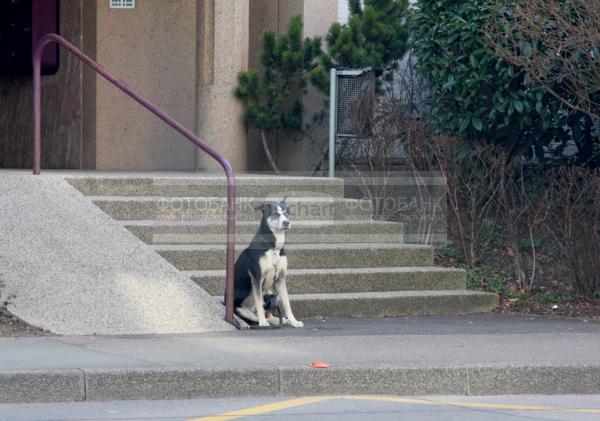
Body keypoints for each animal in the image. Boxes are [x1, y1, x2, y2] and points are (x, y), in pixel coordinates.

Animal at [231, 195, 304, 326]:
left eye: (286, 214)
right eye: (275, 214)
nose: (286, 222)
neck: (273, 246)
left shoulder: (281, 279)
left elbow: (287, 304)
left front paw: (294, 321)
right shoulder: (256, 278)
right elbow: (259, 303)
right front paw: (263, 323)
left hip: (272, 295)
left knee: (269, 312)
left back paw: (281, 320)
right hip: (242, 310)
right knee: (256, 315)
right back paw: (264, 321)